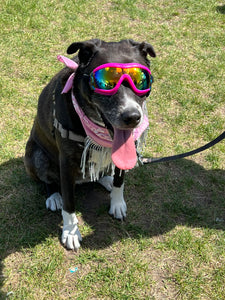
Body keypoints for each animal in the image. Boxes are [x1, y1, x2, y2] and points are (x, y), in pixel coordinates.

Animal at [24, 39, 155, 251]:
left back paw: (106, 179)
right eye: (105, 83)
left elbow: (120, 179)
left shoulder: (128, 147)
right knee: (48, 180)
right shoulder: (66, 162)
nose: (133, 117)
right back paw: (54, 196)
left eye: (140, 80)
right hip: (36, 156)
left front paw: (117, 203)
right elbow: (69, 203)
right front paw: (70, 232)